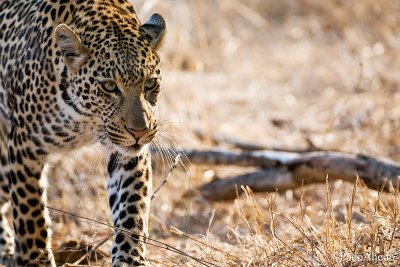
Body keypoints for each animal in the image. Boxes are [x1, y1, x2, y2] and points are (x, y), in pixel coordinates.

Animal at [0, 1, 166, 266]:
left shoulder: (127, 152)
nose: (139, 131)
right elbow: (31, 216)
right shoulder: (25, 146)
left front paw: (130, 258)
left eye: (149, 83)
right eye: (109, 86)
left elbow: (132, 208)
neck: (86, 117)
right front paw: (36, 260)